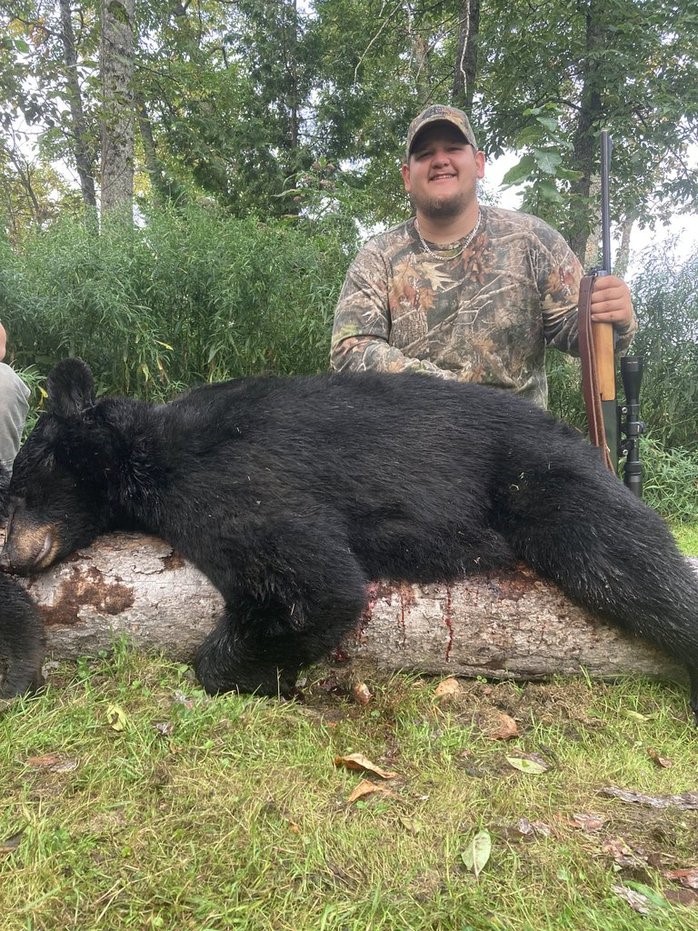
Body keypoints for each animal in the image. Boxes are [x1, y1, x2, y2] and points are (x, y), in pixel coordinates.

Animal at [2, 357, 698, 719]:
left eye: (22, 484)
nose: (12, 557)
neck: (146, 450)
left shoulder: (225, 482)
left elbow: (315, 586)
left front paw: (256, 672)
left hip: (537, 475)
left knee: (622, 557)